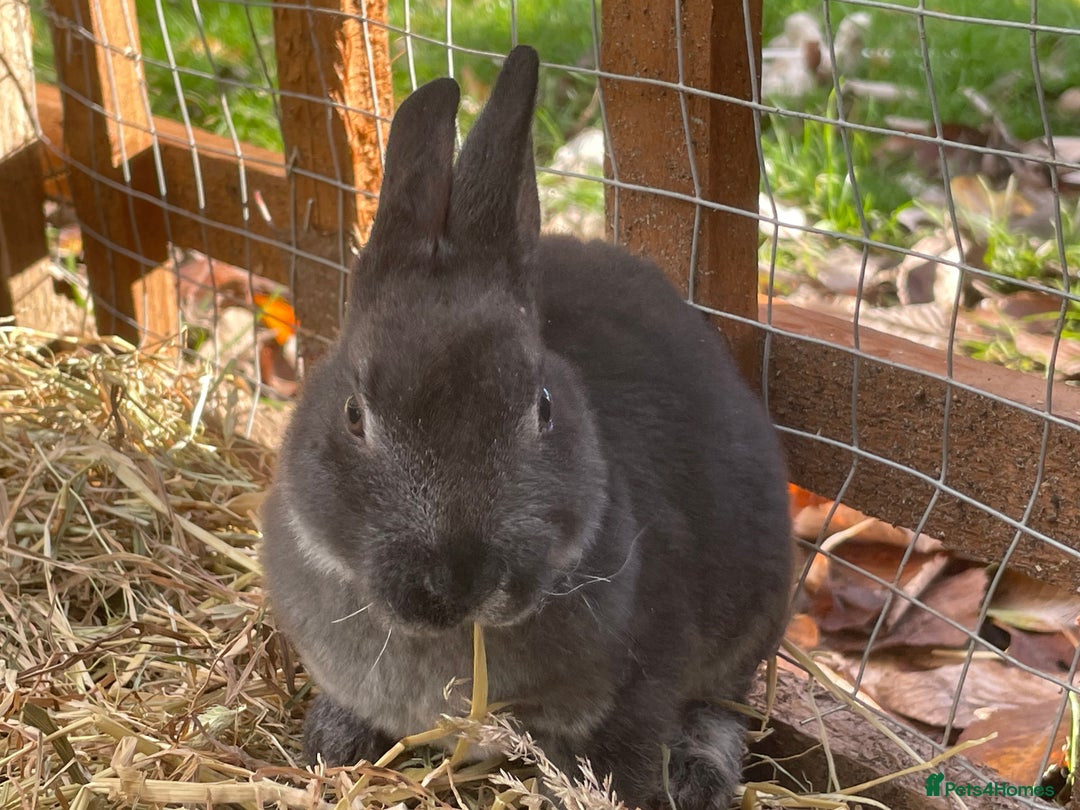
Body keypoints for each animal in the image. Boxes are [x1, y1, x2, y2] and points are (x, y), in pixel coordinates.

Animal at [261, 45, 793, 810]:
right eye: (354, 414)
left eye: (543, 405)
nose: (463, 578)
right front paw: (333, 744)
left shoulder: (642, 689)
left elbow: (631, 760)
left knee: (726, 703)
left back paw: (700, 775)